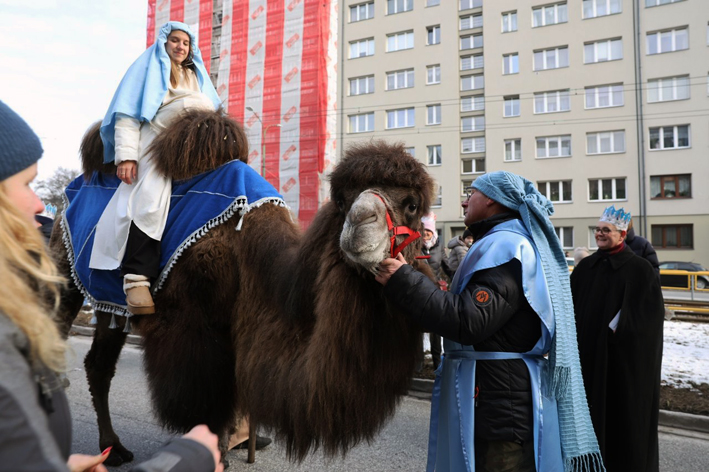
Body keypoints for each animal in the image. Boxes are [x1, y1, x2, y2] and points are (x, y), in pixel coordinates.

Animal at [50, 109, 435, 467]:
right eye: (341, 201)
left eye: (412, 205)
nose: (359, 221)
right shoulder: (196, 328)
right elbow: (207, 397)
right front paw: (213, 450)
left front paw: (244, 441)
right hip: (63, 271)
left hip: (106, 302)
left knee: (98, 363)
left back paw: (112, 447)